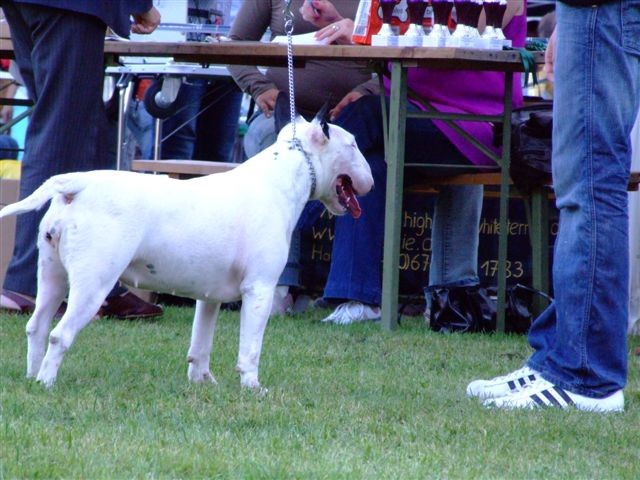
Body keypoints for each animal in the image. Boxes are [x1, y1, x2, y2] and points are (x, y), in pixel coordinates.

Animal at [0, 113, 372, 390]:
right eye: (353, 145)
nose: (370, 180)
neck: (280, 178)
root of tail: (76, 186)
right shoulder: (260, 289)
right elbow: (250, 348)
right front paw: (253, 387)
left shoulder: (210, 296)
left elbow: (201, 342)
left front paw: (202, 381)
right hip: (94, 282)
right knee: (59, 334)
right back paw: (47, 382)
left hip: (52, 274)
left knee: (37, 326)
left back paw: (32, 377)